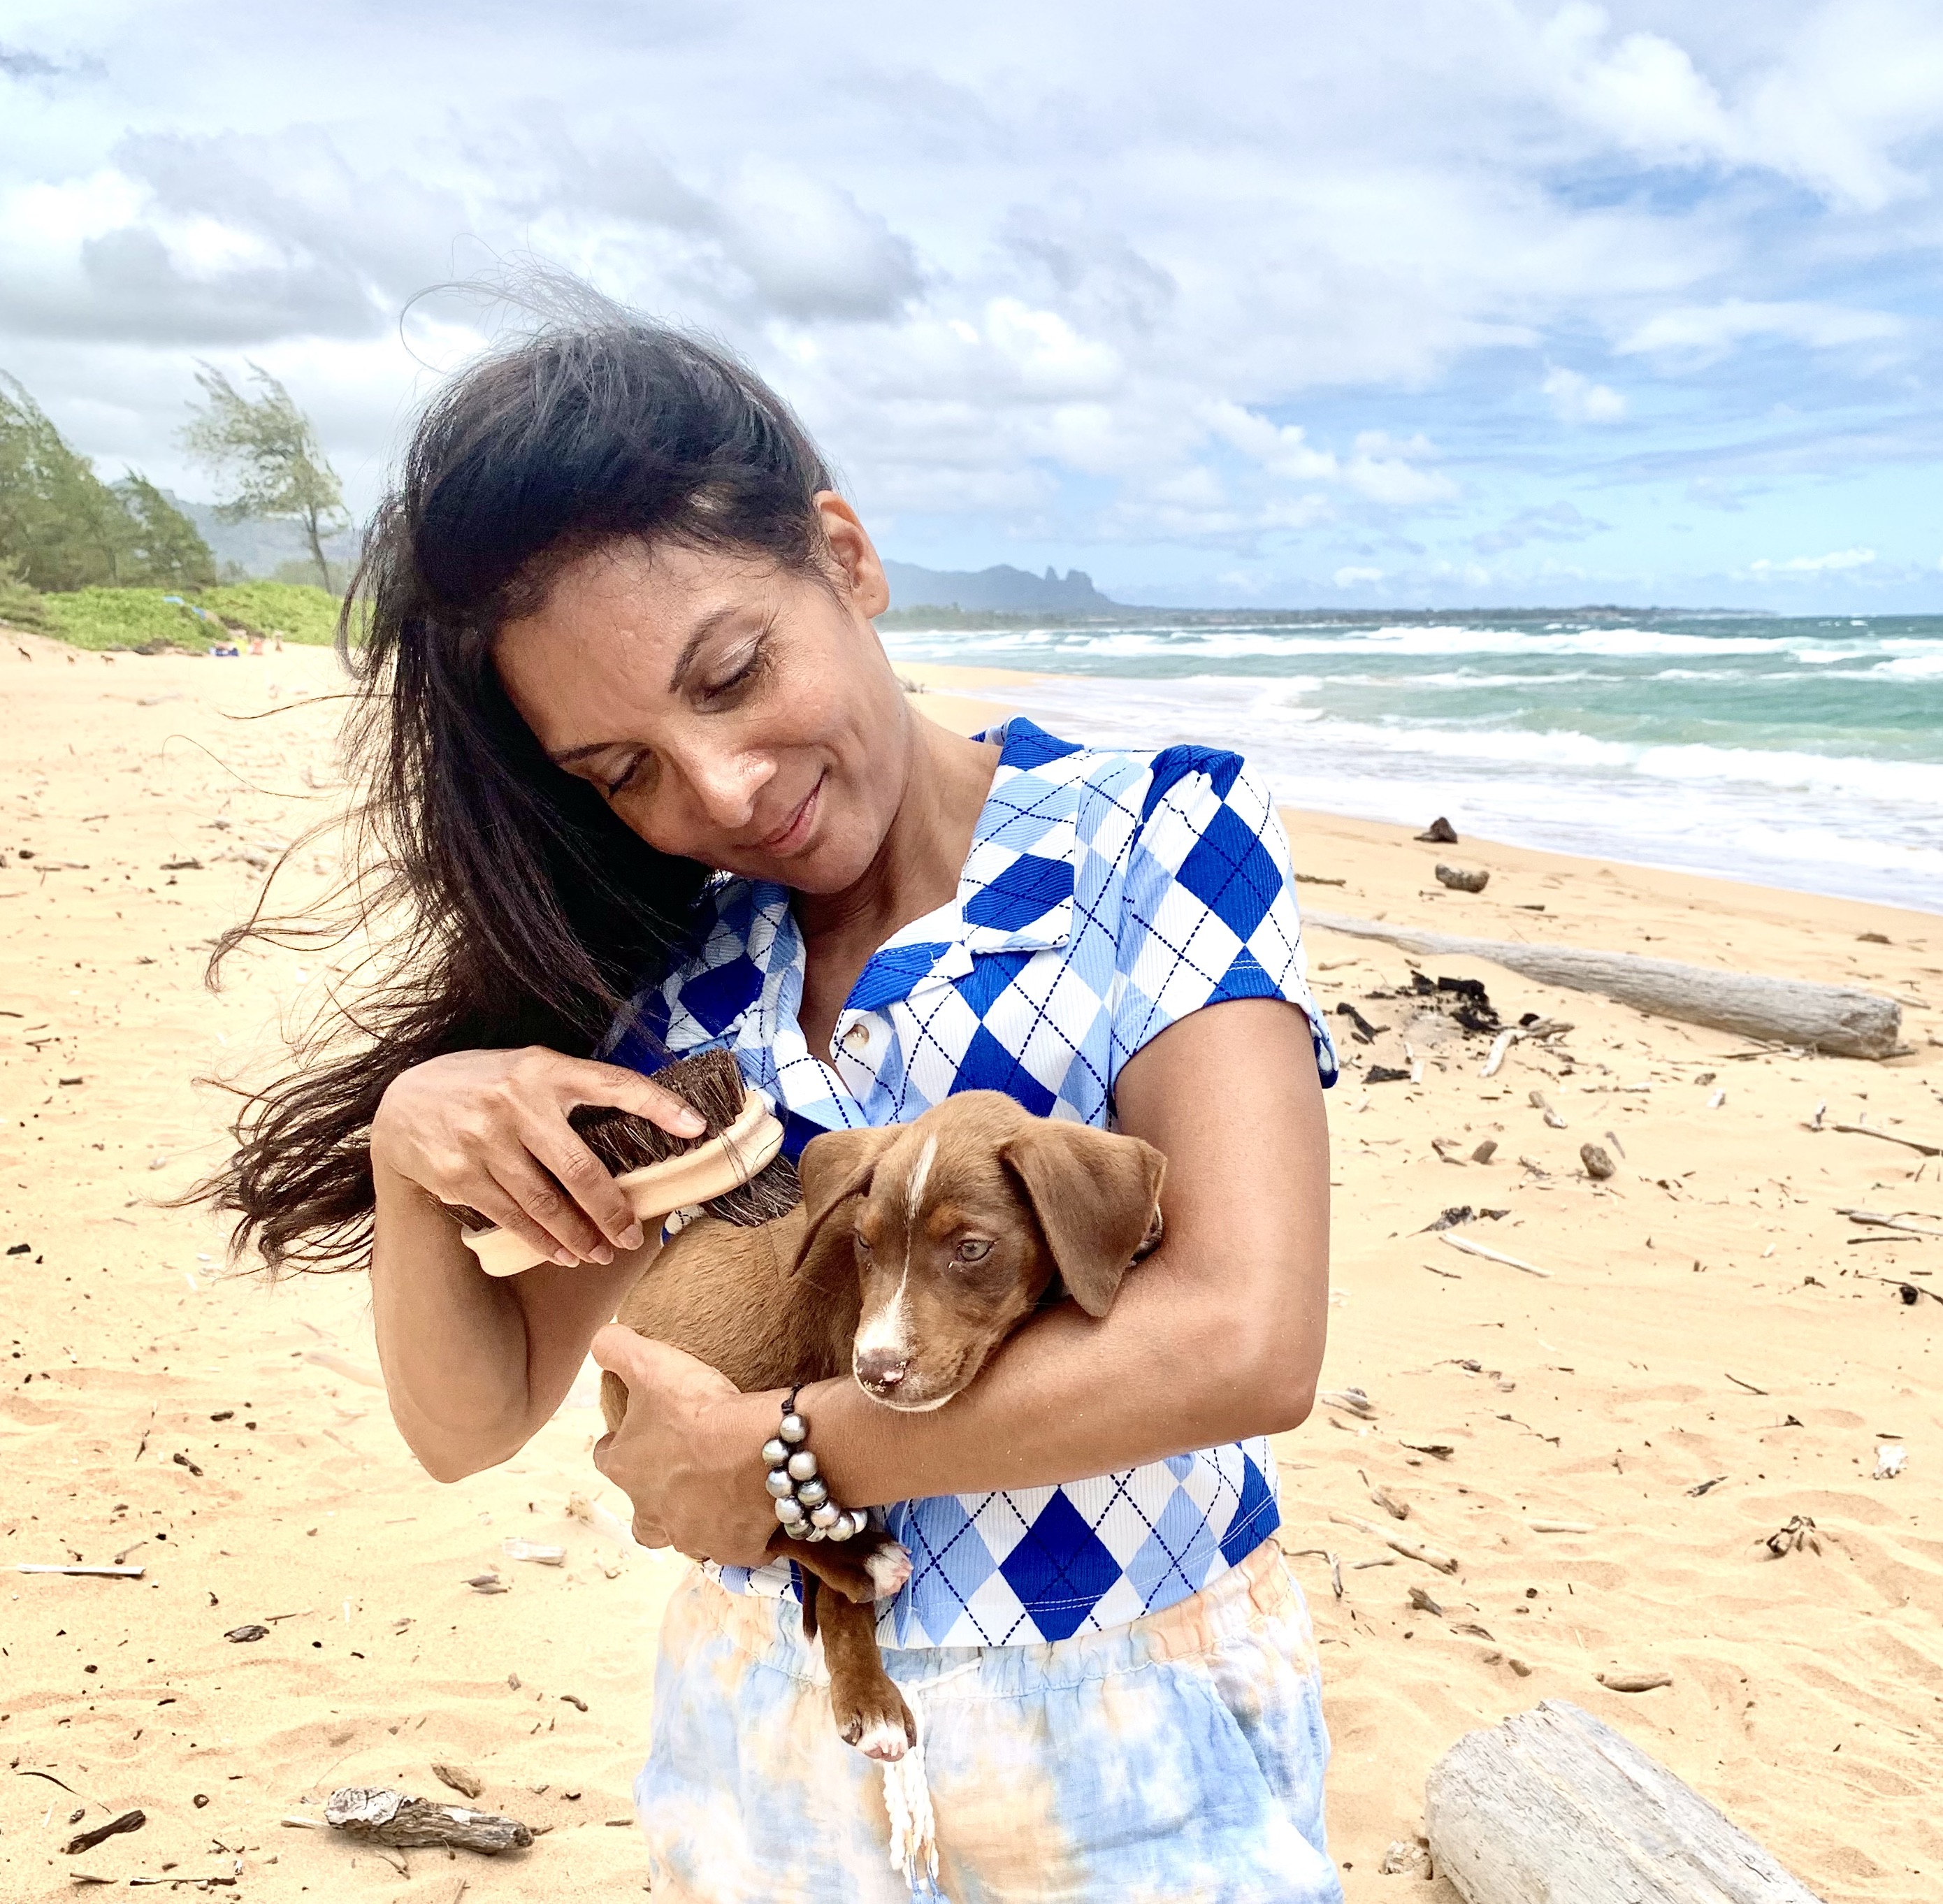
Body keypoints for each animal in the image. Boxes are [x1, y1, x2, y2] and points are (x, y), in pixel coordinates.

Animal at [598, 1095, 1157, 1764]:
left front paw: (1137, 1234)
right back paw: (863, 1568)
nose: (875, 1373)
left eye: (973, 1249)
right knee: (770, 1537)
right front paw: (868, 1693)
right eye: (865, 1243)